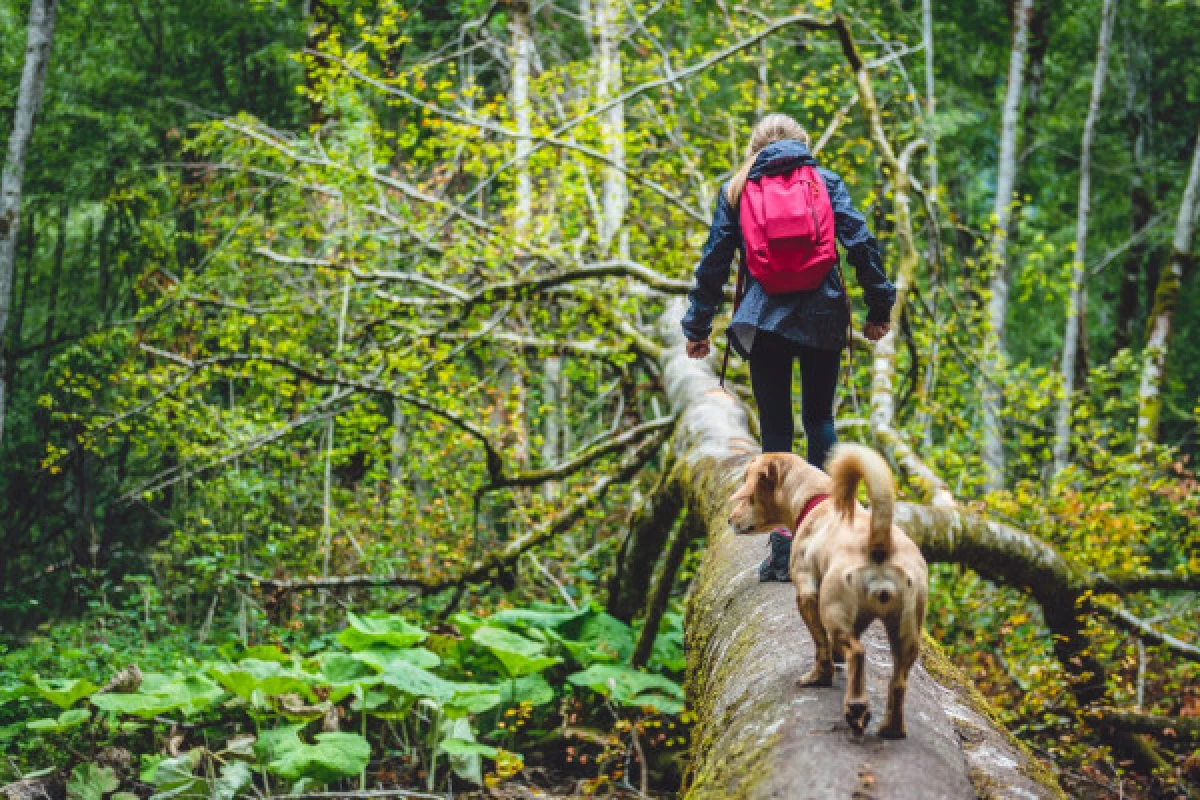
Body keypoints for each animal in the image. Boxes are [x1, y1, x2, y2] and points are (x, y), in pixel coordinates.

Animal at [729, 443, 926, 738]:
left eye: (748, 494)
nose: (729, 520)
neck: (817, 497)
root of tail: (879, 541)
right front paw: (835, 659)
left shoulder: (807, 595)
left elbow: (820, 644)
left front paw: (821, 674)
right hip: (907, 632)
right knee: (898, 681)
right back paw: (891, 728)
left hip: (833, 609)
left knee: (857, 652)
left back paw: (854, 706)